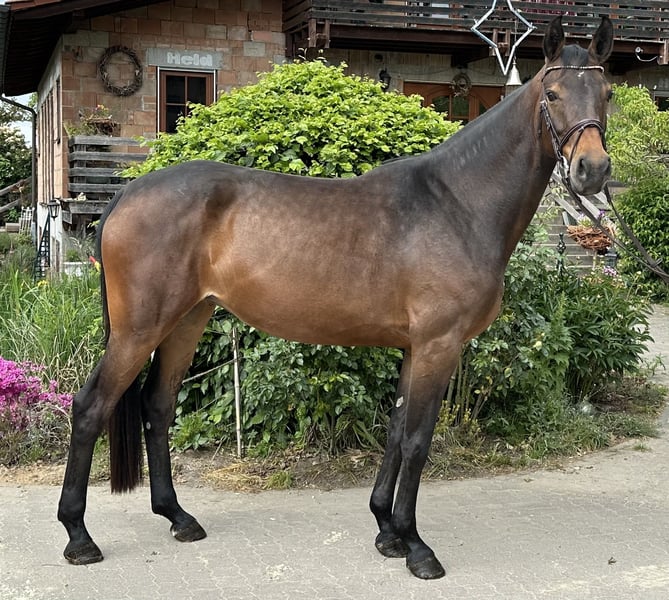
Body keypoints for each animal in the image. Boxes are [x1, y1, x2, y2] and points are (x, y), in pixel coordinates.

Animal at [57, 15, 613, 580]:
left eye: (607, 93)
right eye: (553, 93)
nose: (592, 170)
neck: (456, 203)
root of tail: (128, 192)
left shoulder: (415, 347)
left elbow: (396, 431)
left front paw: (387, 531)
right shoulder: (439, 344)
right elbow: (417, 441)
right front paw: (417, 546)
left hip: (187, 319)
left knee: (157, 405)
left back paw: (177, 517)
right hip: (139, 329)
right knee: (90, 407)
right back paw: (79, 536)